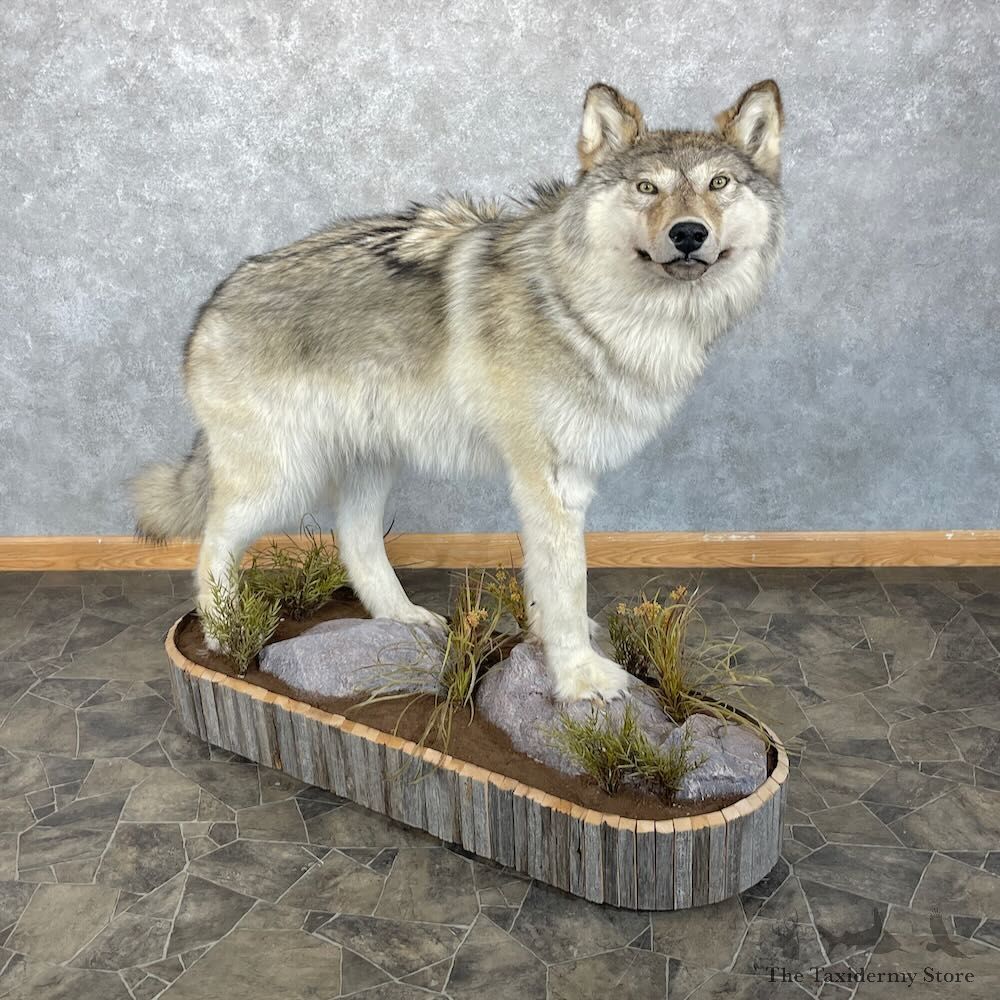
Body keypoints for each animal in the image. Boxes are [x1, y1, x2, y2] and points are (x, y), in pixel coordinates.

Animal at [133, 80, 785, 702]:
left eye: (719, 183)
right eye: (647, 187)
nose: (688, 233)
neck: (588, 308)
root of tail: (212, 303)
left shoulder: (566, 484)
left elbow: (551, 584)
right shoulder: (548, 481)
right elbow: (568, 583)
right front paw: (580, 680)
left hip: (368, 467)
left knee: (355, 543)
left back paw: (403, 619)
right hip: (281, 479)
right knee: (212, 544)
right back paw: (225, 633)